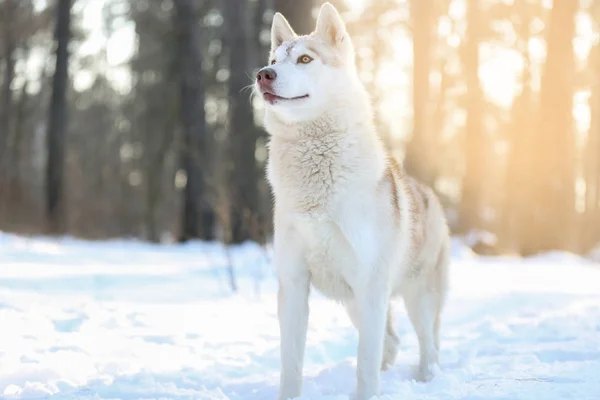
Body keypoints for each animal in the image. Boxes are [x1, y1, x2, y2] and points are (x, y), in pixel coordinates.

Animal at [254, 3, 450, 400]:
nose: (263, 75)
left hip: (414, 297)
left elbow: (365, 366)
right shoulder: (293, 285)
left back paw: (425, 379)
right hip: (355, 305)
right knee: (391, 342)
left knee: (427, 345)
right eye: (273, 60)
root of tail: (430, 194)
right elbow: (291, 365)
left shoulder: (370, 284)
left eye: (305, 59)